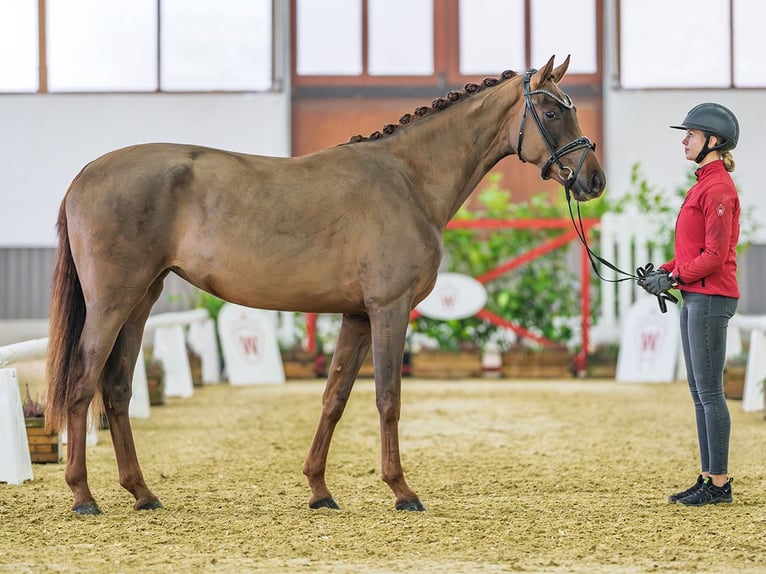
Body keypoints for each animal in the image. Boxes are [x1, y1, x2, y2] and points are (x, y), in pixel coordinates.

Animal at [46, 55, 608, 516]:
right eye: (552, 113)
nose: (594, 181)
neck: (408, 179)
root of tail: (84, 175)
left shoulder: (357, 315)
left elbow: (334, 397)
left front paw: (319, 490)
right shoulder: (389, 308)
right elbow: (388, 397)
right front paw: (402, 491)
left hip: (142, 300)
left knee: (117, 388)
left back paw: (142, 493)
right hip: (111, 304)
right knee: (82, 385)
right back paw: (83, 496)